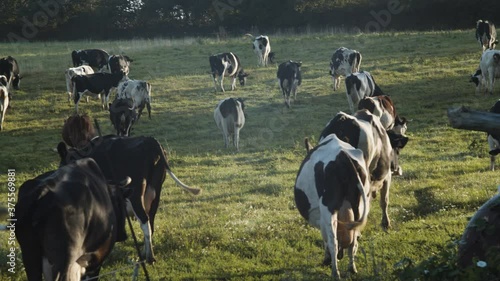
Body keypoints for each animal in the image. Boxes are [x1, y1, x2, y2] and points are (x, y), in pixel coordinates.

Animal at [56, 136, 201, 262]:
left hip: (136, 193)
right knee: (150, 220)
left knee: (144, 220)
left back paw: (149, 257)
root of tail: (150, 140)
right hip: (155, 190)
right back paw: (145, 252)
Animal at [294, 134, 370, 278]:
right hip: (358, 205)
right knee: (354, 240)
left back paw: (336, 273)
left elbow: (325, 238)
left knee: (333, 241)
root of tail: (342, 155)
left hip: (328, 208)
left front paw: (326, 260)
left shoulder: (322, 217)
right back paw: (352, 268)